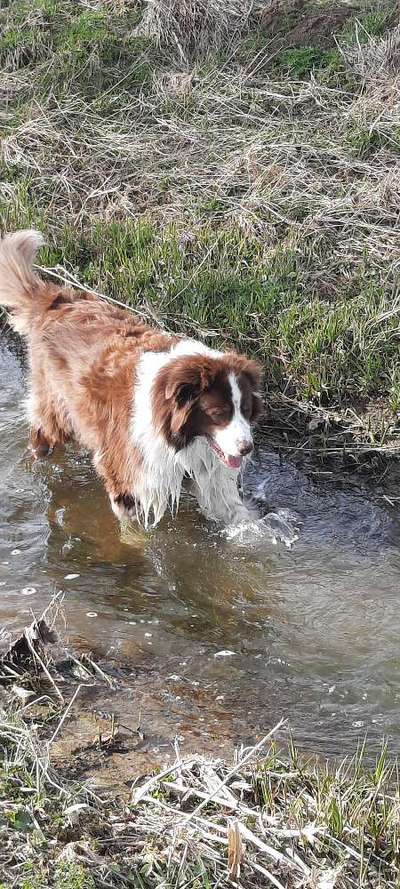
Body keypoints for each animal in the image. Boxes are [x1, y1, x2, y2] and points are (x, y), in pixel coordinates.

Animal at [0, 232, 262, 528]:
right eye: (218, 413)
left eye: (246, 411)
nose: (247, 448)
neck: (178, 437)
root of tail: (58, 299)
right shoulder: (132, 478)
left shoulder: (211, 477)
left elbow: (238, 517)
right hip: (55, 405)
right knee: (42, 433)